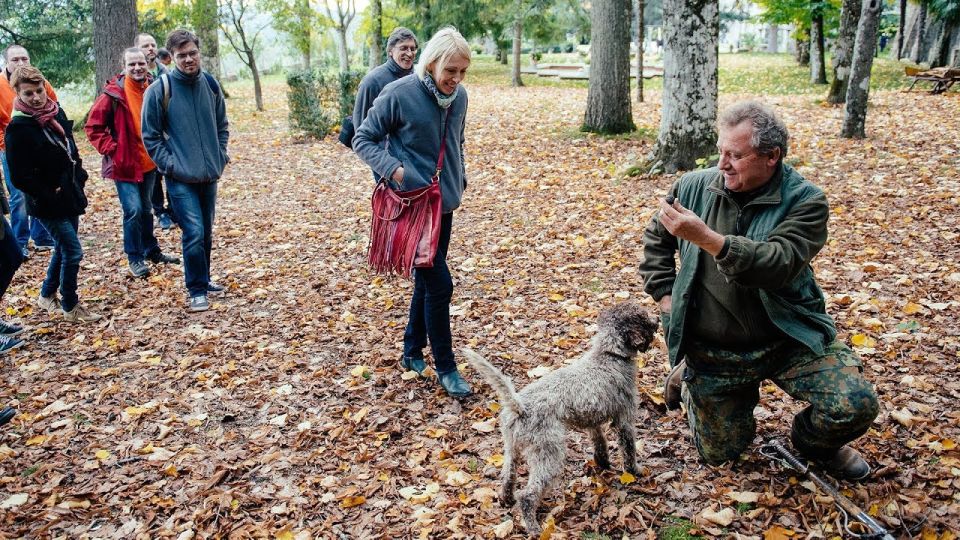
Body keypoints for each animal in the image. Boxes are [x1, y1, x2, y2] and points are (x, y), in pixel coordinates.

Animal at [464, 302, 660, 532]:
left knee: (507, 477)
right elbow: (628, 450)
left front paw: (603, 463)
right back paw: (533, 527)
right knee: (528, 495)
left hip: (511, 449)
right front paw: (635, 471)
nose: (657, 319)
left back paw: (506, 498)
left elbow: (600, 443)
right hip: (549, 453)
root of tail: (519, 407)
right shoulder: (624, 419)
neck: (609, 355)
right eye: (643, 317)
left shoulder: (592, 423)